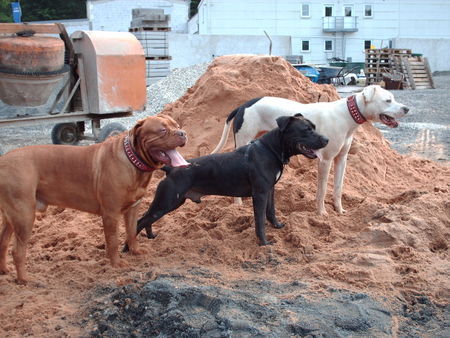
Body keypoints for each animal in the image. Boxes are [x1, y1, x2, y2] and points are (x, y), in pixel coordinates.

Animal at [0, 115, 187, 284]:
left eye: (177, 125)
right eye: (162, 130)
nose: (183, 133)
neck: (134, 161)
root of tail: (3, 161)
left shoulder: (133, 208)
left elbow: (132, 232)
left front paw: (135, 251)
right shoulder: (111, 213)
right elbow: (112, 241)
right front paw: (116, 264)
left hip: (11, 217)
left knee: (3, 242)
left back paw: (5, 270)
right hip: (24, 215)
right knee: (18, 252)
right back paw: (24, 279)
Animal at [125, 115, 328, 250]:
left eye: (314, 127)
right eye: (307, 130)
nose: (326, 139)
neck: (271, 149)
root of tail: (171, 169)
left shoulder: (270, 190)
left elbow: (271, 212)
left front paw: (276, 226)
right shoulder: (260, 194)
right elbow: (260, 221)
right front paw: (264, 243)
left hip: (171, 202)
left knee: (146, 218)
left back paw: (150, 236)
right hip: (166, 202)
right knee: (141, 220)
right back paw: (128, 249)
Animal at [211, 85, 408, 217]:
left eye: (393, 98)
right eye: (388, 100)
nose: (406, 108)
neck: (346, 115)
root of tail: (243, 106)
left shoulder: (341, 159)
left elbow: (338, 188)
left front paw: (339, 210)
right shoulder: (325, 160)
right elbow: (322, 190)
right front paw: (321, 213)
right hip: (243, 140)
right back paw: (237, 205)